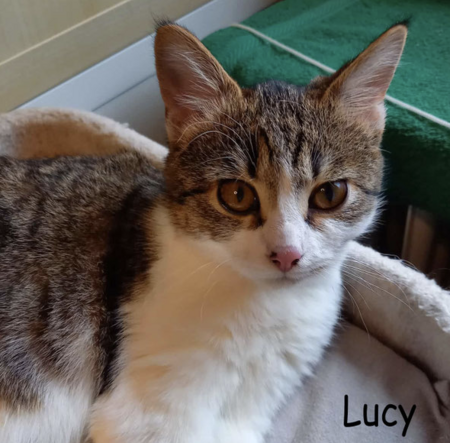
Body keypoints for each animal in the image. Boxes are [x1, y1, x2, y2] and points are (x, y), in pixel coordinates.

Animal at [0, 22, 407, 443]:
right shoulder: (149, 412)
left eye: (330, 193)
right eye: (237, 195)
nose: (287, 253)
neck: (266, 306)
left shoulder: (250, 410)